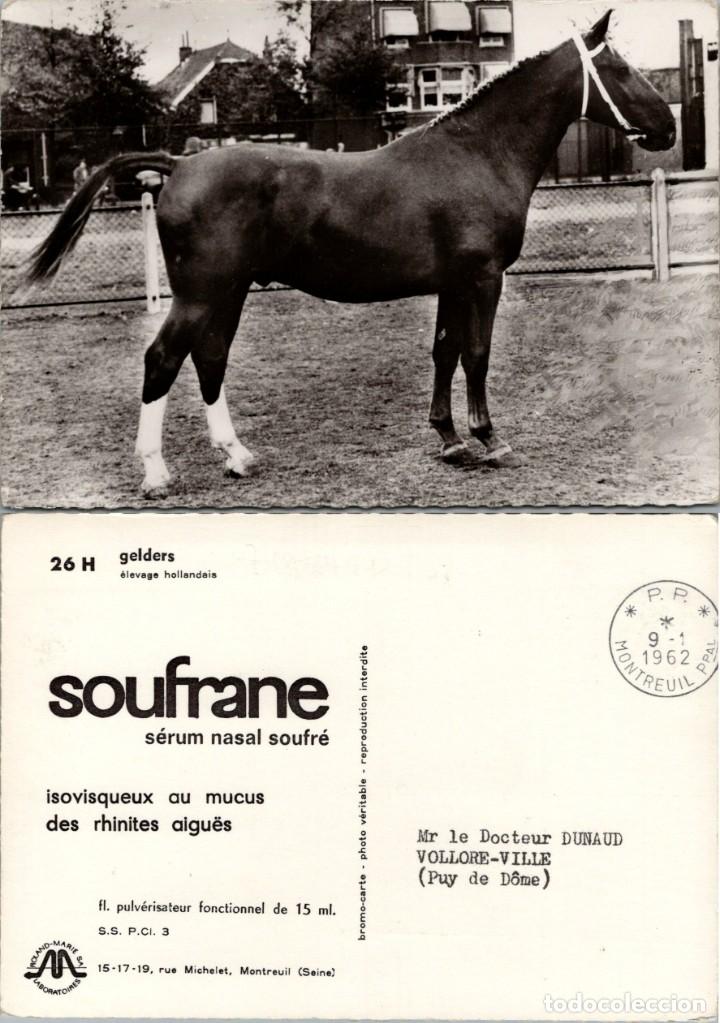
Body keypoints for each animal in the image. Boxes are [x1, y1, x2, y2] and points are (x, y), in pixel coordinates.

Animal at [25, 11, 675, 494]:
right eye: (618, 68)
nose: (668, 128)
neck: (477, 154)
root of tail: (177, 164)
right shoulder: (483, 279)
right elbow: (476, 355)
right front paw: (490, 439)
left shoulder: (452, 283)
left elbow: (443, 353)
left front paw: (450, 440)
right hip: (201, 294)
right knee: (162, 359)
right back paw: (157, 473)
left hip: (228, 292)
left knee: (209, 359)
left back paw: (237, 456)